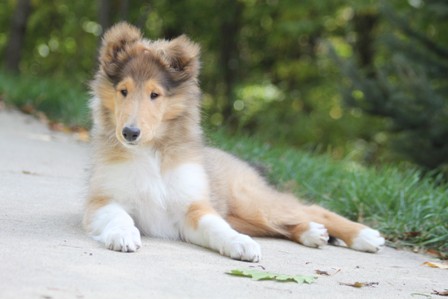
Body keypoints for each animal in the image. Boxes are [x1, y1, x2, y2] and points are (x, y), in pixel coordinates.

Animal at [84, 22, 384, 262]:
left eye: (154, 95)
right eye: (123, 91)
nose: (129, 133)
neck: (151, 153)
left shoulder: (194, 207)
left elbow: (216, 228)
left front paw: (239, 243)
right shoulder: (103, 200)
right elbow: (119, 215)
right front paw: (123, 235)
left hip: (249, 201)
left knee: (311, 208)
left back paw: (366, 236)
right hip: (244, 213)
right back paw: (312, 232)